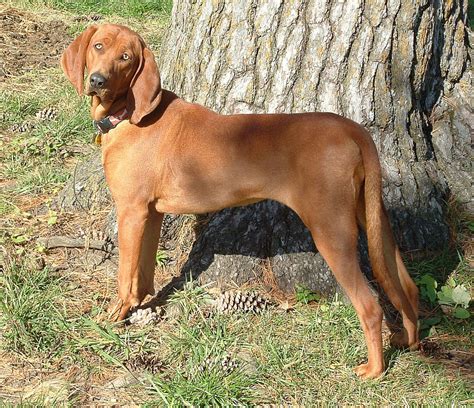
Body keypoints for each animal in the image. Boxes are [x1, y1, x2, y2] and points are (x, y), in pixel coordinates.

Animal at [62, 23, 418, 378]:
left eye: (126, 57)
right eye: (98, 46)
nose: (97, 80)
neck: (127, 114)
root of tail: (352, 128)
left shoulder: (131, 212)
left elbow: (126, 275)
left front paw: (115, 315)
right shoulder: (152, 213)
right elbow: (145, 271)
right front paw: (141, 305)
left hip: (332, 230)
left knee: (370, 305)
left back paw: (374, 369)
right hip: (372, 218)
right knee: (406, 286)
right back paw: (407, 339)